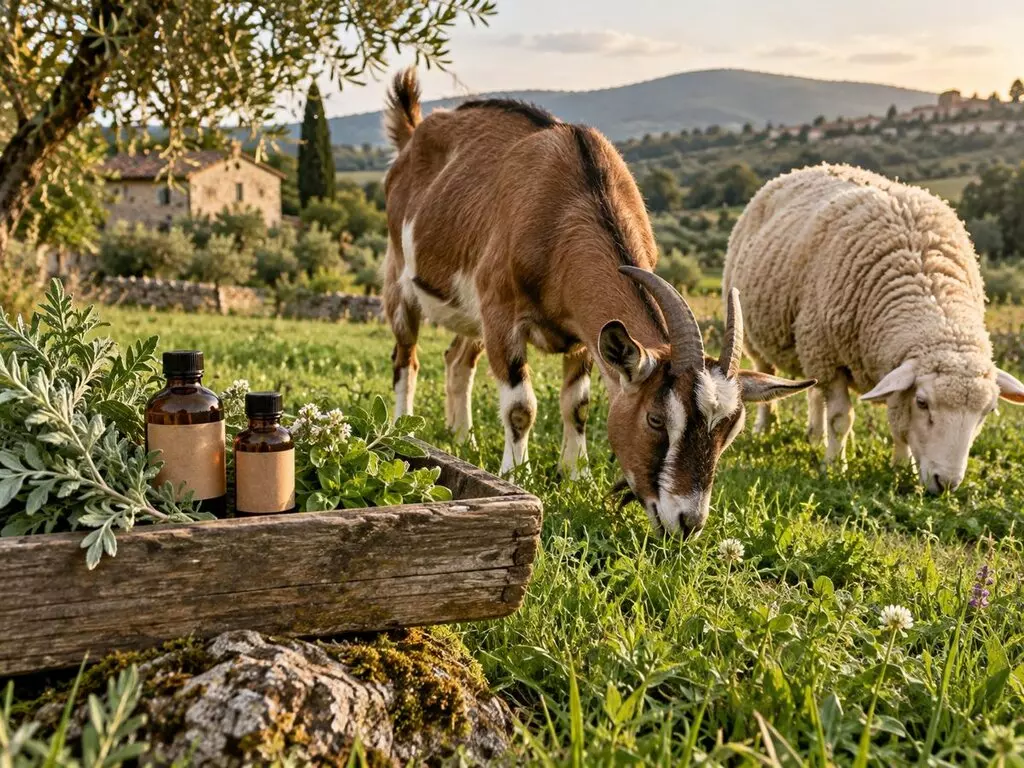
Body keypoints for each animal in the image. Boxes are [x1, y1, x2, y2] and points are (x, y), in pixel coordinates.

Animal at [381, 68, 814, 536]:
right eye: (656, 419)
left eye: (729, 432)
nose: (687, 522)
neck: (568, 207)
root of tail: (412, 134)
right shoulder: (501, 313)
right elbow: (520, 408)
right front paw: (516, 473)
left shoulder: (585, 334)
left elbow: (579, 405)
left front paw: (577, 474)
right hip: (401, 282)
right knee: (407, 358)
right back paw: (402, 429)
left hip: (470, 316)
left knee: (458, 359)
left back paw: (463, 437)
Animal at [723, 162, 1024, 493]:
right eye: (922, 403)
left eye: (988, 411)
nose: (945, 484)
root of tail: (803, 169)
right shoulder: (830, 358)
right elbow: (841, 418)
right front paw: (834, 467)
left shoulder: (883, 367)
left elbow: (896, 427)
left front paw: (900, 466)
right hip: (764, 338)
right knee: (767, 373)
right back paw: (767, 428)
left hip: (808, 343)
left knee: (814, 393)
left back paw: (815, 436)